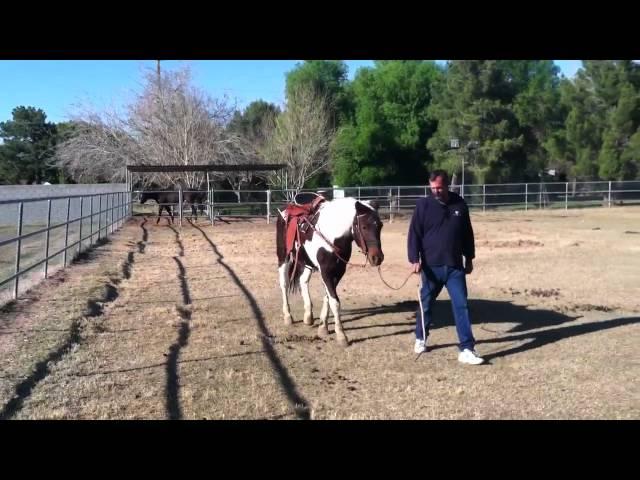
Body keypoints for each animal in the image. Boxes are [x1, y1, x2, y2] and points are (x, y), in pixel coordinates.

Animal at [276, 197, 384, 346]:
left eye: (380, 226)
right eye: (364, 227)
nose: (377, 258)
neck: (332, 235)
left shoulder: (338, 272)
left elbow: (328, 297)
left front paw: (323, 327)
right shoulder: (326, 272)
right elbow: (335, 301)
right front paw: (341, 335)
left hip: (307, 262)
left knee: (303, 281)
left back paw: (308, 316)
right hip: (283, 256)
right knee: (284, 283)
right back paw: (288, 316)